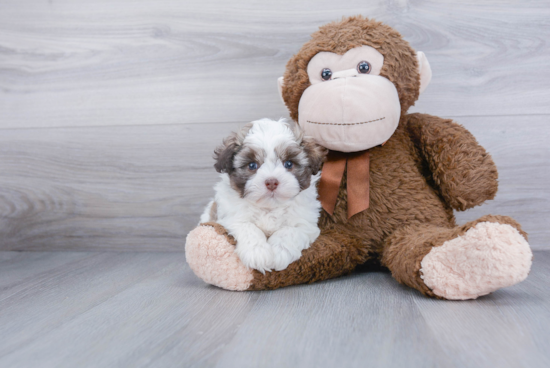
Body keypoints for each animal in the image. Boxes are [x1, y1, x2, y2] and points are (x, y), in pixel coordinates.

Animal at [202, 118, 328, 274]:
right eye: (252, 165)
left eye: (288, 164)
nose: (272, 182)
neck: (269, 208)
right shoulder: (231, 217)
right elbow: (248, 227)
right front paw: (257, 253)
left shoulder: (306, 223)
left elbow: (290, 230)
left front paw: (279, 251)